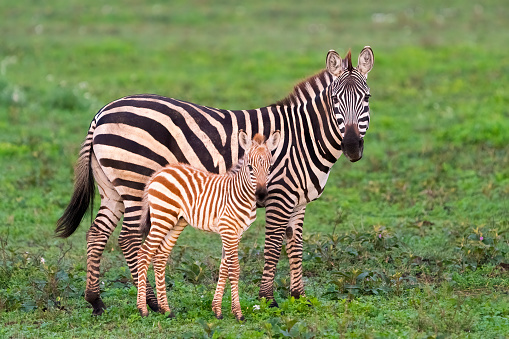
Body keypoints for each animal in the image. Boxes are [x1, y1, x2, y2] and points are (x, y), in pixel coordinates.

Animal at [137, 131, 280, 320]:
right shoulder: (228, 229)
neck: (240, 194)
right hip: (163, 217)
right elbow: (234, 269)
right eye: (250, 167)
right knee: (144, 253)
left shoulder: (237, 233)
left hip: (176, 221)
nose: (262, 195)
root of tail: (160, 171)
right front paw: (238, 313)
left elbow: (224, 268)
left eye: (270, 167)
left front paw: (217, 309)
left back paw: (166, 309)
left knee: (160, 257)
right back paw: (142, 309)